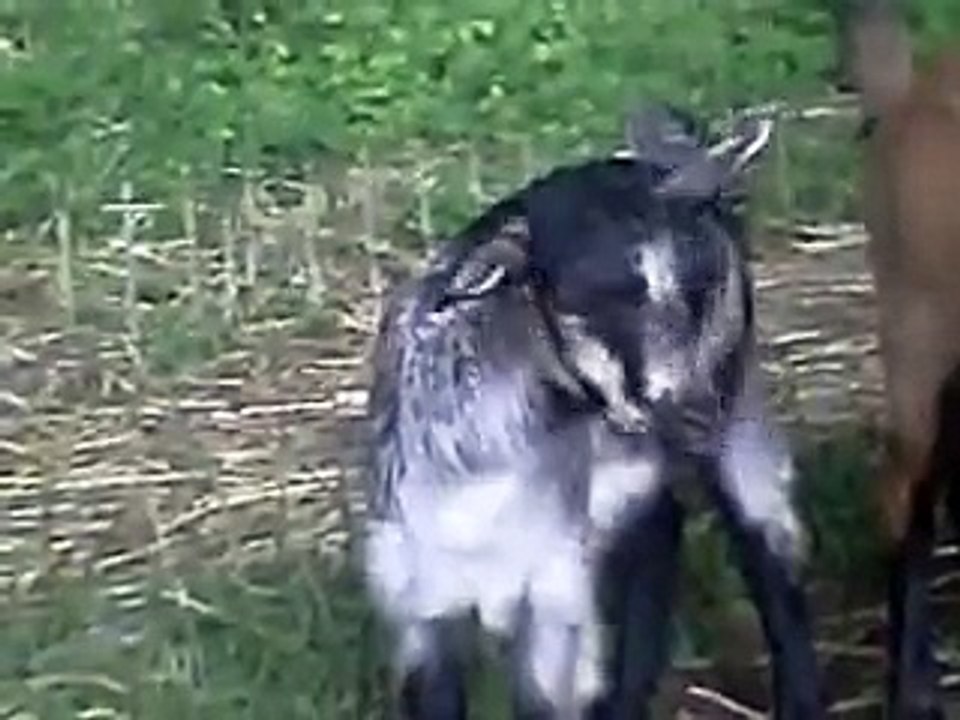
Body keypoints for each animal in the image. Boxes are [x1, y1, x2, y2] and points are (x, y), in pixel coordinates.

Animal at [362, 105, 825, 719]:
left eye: (701, 290)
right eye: (584, 301)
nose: (693, 409)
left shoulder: (555, 606)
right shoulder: (419, 608)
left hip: (740, 416)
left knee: (766, 549)